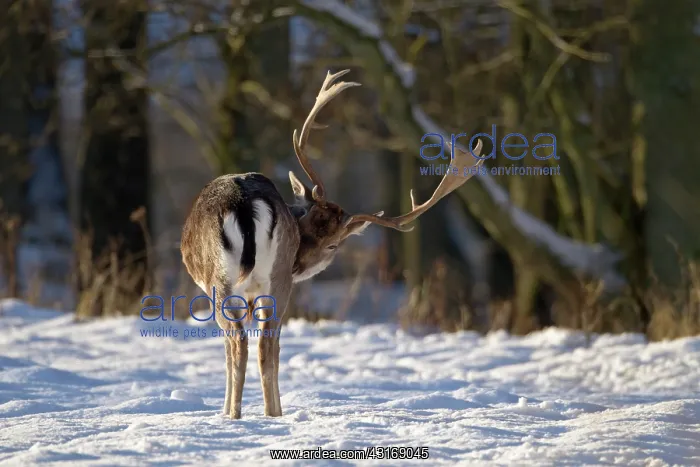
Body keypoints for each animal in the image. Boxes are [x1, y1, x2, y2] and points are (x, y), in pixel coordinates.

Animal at [180, 69, 484, 419]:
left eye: (333, 246)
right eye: (305, 222)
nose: (297, 263)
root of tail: (245, 203)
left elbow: (231, 350)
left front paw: (224, 410)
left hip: (221, 280)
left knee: (241, 343)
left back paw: (236, 415)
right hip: (274, 281)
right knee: (268, 344)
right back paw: (273, 414)